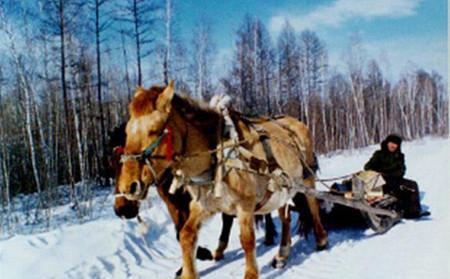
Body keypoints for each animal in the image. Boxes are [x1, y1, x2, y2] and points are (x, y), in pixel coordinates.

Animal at [116, 83, 326, 279]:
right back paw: (283, 253)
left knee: (312, 204)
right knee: (285, 217)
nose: (129, 186)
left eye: (154, 130)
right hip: (282, 188)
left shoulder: (245, 205)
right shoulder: (203, 205)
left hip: (307, 179)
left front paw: (251, 273)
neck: (217, 155)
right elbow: (186, 235)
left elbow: (247, 240)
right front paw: (189, 271)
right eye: (126, 132)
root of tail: (295, 122)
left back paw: (321, 240)